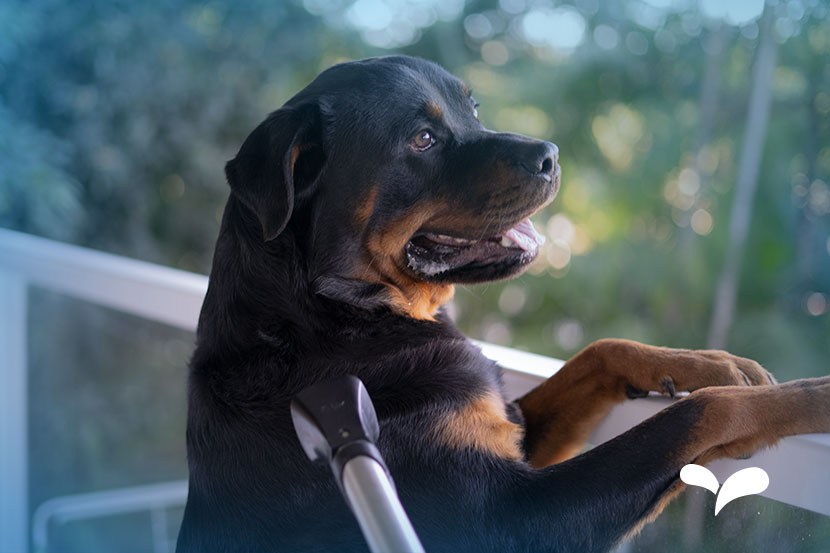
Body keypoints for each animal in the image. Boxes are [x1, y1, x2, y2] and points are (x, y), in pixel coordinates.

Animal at [179, 57, 830, 552]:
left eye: (474, 110)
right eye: (422, 138)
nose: (551, 155)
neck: (337, 316)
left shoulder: (512, 430)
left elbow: (601, 351)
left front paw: (706, 363)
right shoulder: (511, 518)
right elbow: (699, 415)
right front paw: (810, 396)